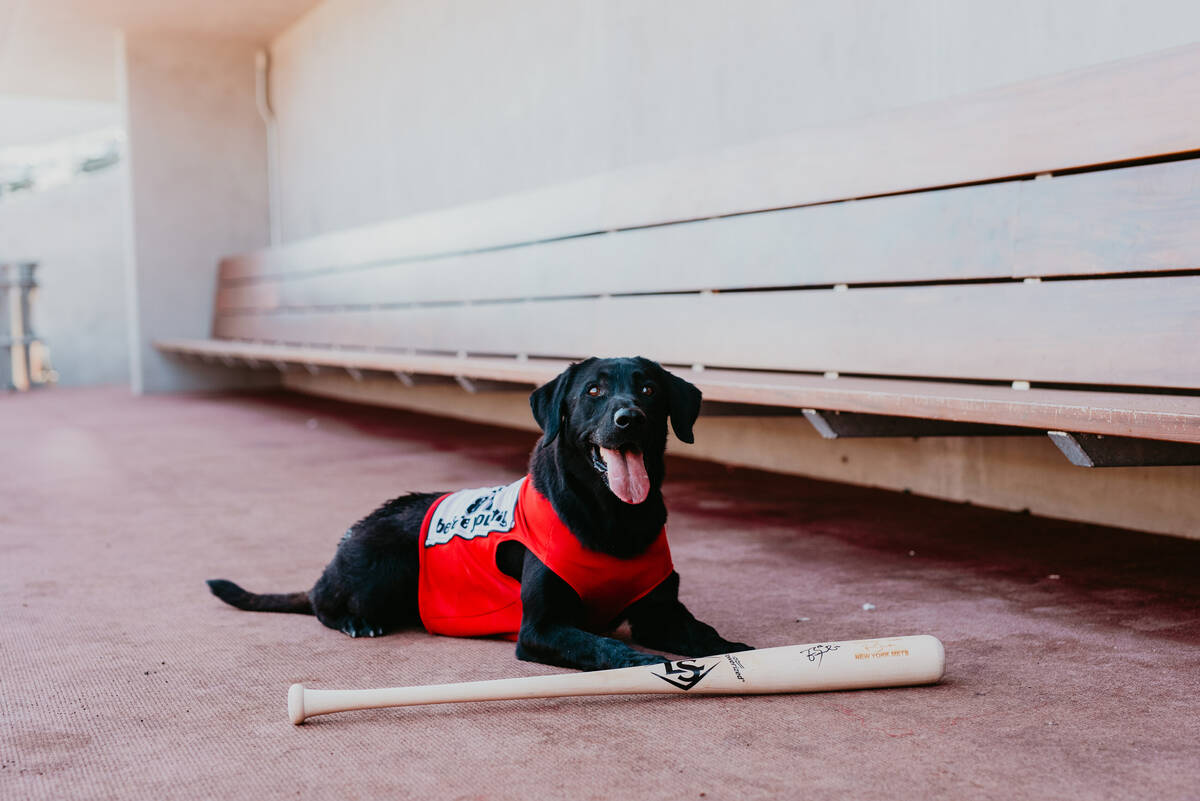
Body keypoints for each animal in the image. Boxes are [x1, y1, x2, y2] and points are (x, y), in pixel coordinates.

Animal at [211, 357, 744, 671]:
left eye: (649, 390)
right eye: (593, 392)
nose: (628, 418)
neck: (614, 519)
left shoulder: (661, 613)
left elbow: (701, 633)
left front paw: (736, 651)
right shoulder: (541, 629)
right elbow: (603, 645)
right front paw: (641, 662)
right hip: (381, 565)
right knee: (323, 602)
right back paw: (354, 620)